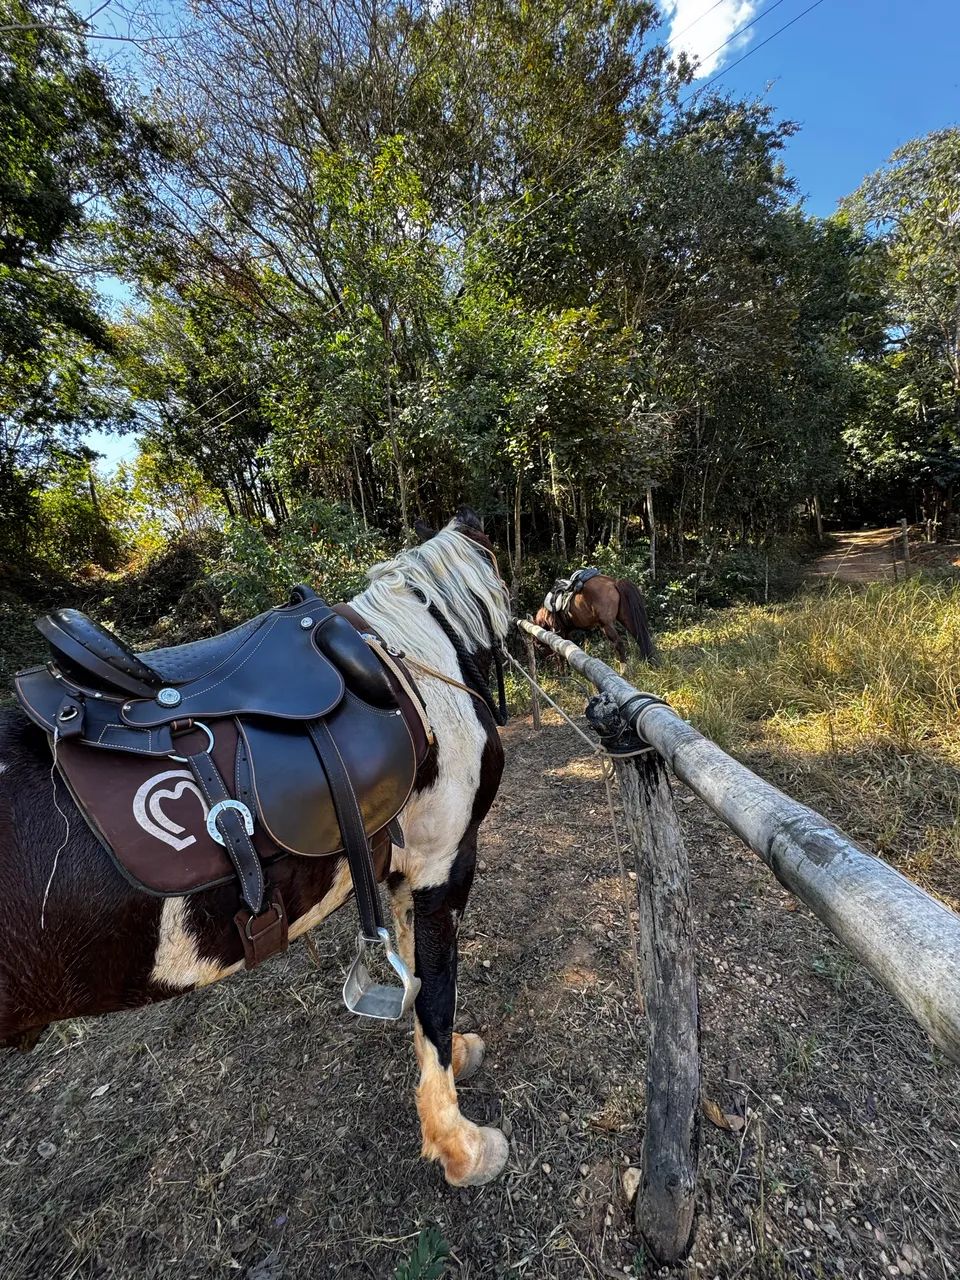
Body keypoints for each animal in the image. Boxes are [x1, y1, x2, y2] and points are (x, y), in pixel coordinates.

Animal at [0, 509, 513, 1187]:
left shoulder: (408, 874)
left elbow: (421, 978)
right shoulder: (442, 867)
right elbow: (434, 997)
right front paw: (460, 1147)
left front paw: (454, 1067)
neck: (416, 667)